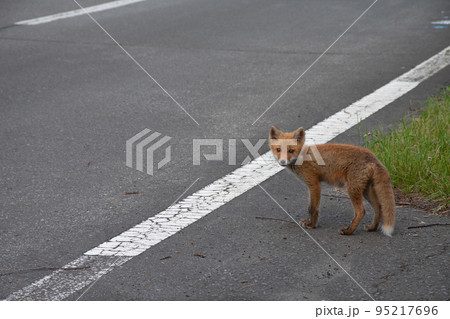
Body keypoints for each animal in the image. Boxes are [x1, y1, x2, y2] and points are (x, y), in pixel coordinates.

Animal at [268, 126, 396, 236]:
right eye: (278, 149)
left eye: (291, 150)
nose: (283, 161)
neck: (302, 158)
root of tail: (373, 156)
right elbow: (310, 208)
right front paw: (310, 223)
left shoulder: (314, 184)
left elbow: (312, 208)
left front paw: (312, 225)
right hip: (365, 190)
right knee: (379, 207)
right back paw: (372, 228)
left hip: (352, 189)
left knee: (361, 211)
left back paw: (348, 231)